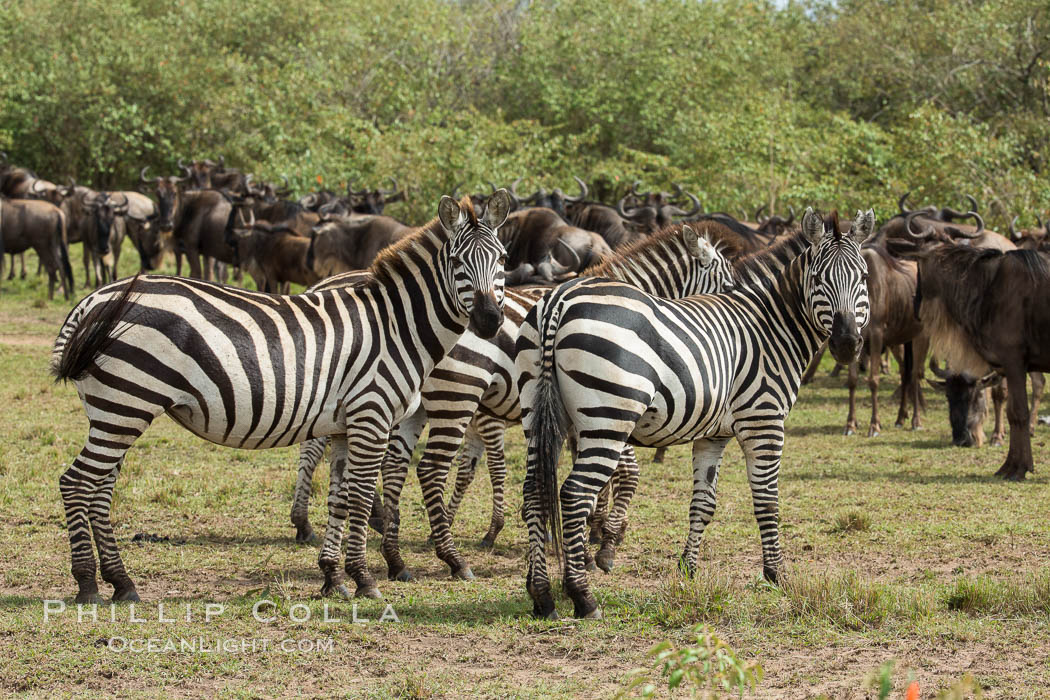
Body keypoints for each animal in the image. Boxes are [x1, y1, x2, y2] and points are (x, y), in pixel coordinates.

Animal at [52, 189, 512, 604]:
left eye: (504, 259)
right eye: (457, 263)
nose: (490, 321)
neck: (396, 327)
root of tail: (93, 301)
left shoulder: (344, 426)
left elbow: (340, 499)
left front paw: (333, 578)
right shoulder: (372, 415)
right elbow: (362, 497)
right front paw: (365, 580)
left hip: (114, 409)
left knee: (100, 487)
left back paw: (121, 583)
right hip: (125, 403)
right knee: (77, 482)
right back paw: (89, 585)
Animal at [287, 223, 739, 579]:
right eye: (725, 276)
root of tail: (324, 286)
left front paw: (586, 530)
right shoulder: (607, 405)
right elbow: (625, 474)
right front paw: (605, 542)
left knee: (384, 462)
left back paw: (385, 546)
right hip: (453, 393)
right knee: (409, 465)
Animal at [516, 207, 869, 617]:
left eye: (862, 278)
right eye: (818, 279)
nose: (847, 344)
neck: (770, 328)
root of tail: (559, 299)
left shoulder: (712, 435)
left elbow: (703, 503)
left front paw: (687, 569)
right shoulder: (764, 421)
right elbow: (767, 499)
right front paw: (776, 575)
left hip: (542, 415)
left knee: (534, 492)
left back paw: (542, 594)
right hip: (609, 417)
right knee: (574, 493)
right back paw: (582, 597)